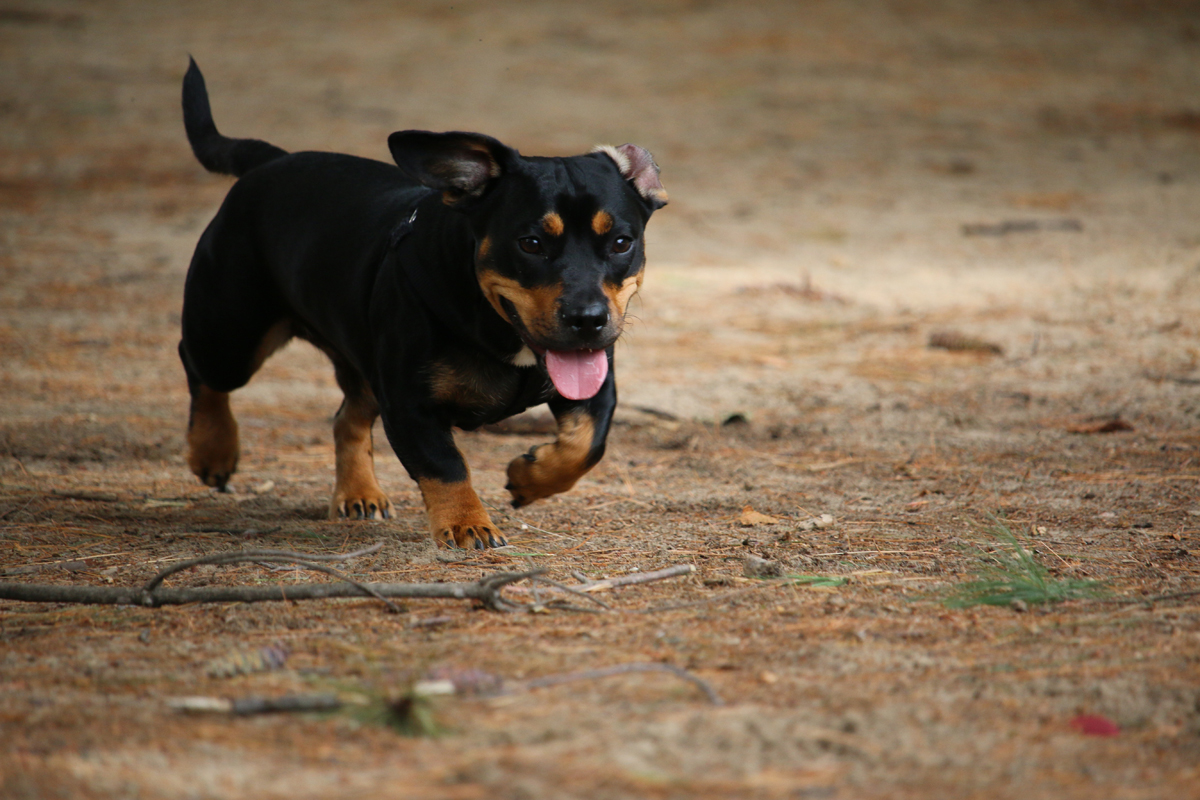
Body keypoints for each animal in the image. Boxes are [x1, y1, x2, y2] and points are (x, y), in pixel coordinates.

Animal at [175, 59, 667, 551]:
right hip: (231, 336)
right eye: (530, 243)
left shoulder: (596, 387)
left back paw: (359, 494)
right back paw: (213, 452)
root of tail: (270, 161)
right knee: (201, 369)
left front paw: (529, 478)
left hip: (362, 363)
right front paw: (468, 524)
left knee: (346, 417)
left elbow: (586, 445)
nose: (588, 320)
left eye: (622, 242)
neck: (500, 330)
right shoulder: (410, 404)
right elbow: (444, 465)